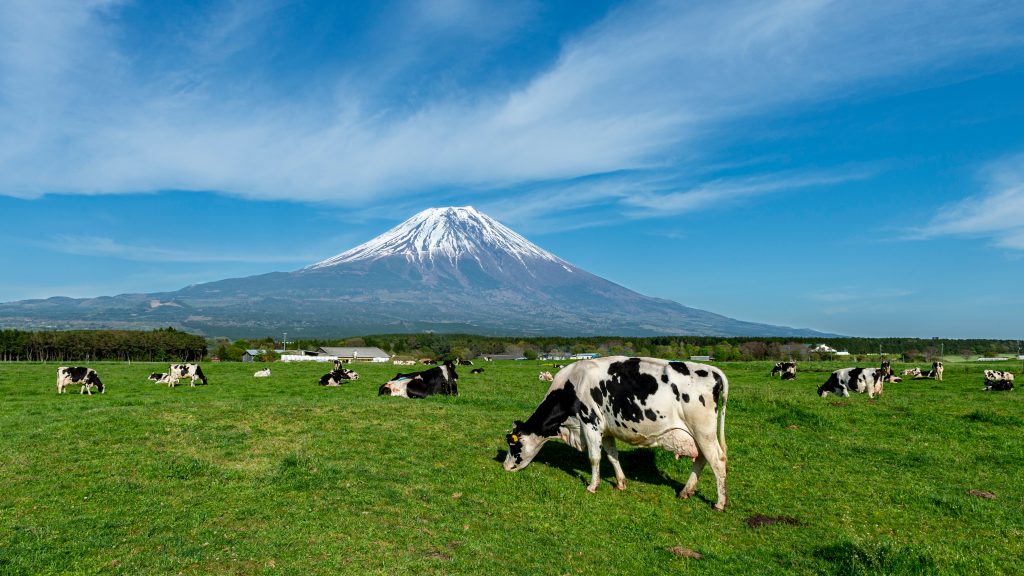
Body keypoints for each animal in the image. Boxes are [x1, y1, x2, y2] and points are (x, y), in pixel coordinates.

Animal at [501, 356, 729, 508]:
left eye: (513, 443)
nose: (505, 466)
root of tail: (715, 371)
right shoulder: (607, 429)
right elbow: (612, 456)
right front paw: (620, 483)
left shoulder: (590, 423)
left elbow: (594, 457)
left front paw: (593, 486)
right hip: (697, 435)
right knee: (701, 459)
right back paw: (685, 491)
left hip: (703, 431)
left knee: (717, 461)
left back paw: (719, 502)